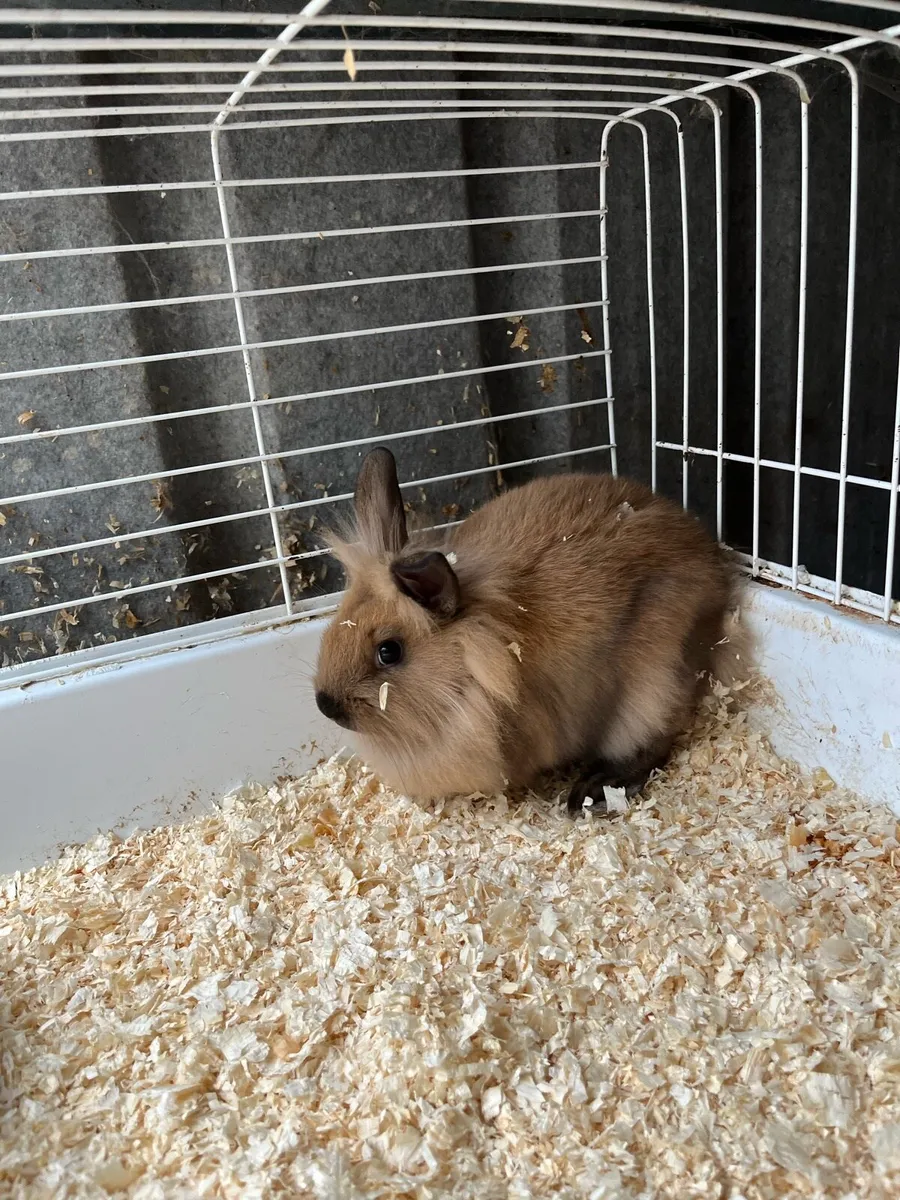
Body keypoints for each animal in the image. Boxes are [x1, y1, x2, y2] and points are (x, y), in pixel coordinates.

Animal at [314, 446, 748, 816]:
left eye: (389, 651)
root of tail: (716, 571)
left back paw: (593, 791)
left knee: (653, 746)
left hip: (652, 690)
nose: (325, 706)